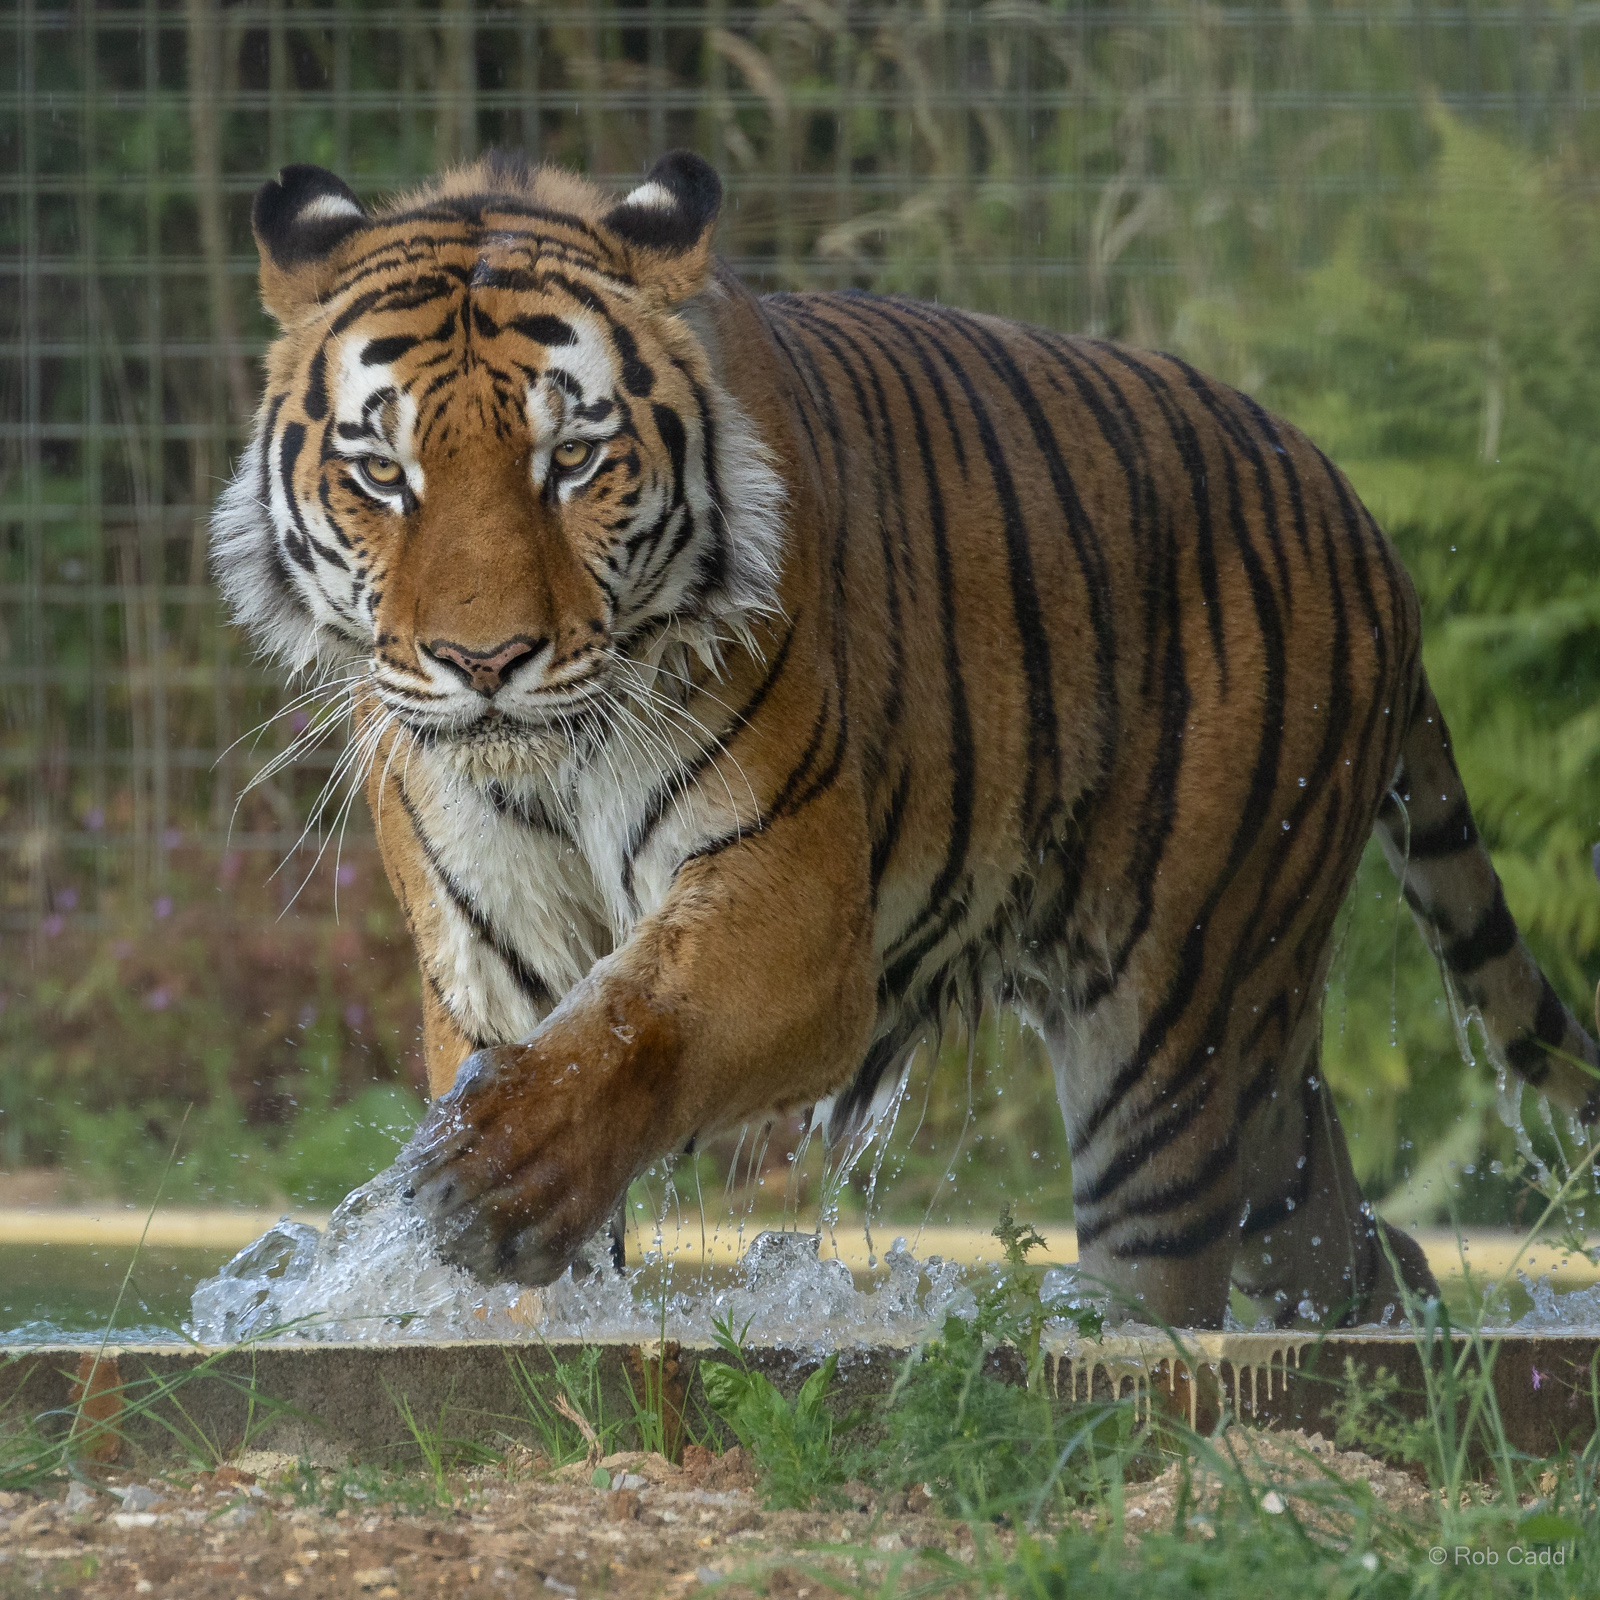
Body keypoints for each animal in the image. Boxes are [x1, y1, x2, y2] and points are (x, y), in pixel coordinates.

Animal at [212, 148, 1600, 1330]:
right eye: (383, 474)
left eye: (574, 460)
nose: (484, 663)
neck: (550, 767)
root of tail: (1370, 528)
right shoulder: (493, 950)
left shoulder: (793, 903)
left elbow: (636, 1024)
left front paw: (495, 1176)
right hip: (1254, 1076)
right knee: (1339, 1230)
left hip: (1178, 1023)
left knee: (1170, 1265)